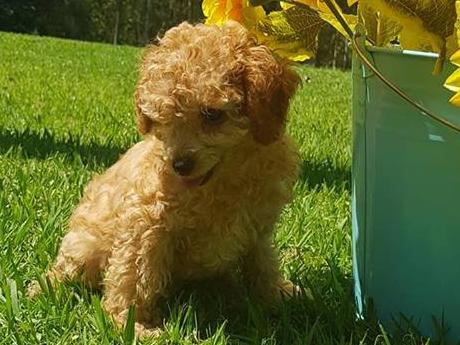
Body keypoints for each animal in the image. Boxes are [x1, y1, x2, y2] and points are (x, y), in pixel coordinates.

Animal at [29, 20, 302, 334]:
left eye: (212, 114)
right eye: (162, 117)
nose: (179, 164)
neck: (224, 180)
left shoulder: (257, 226)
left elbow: (262, 263)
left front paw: (276, 296)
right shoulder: (146, 222)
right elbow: (134, 277)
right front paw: (131, 324)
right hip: (84, 246)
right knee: (67, 271)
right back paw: (44, 289)